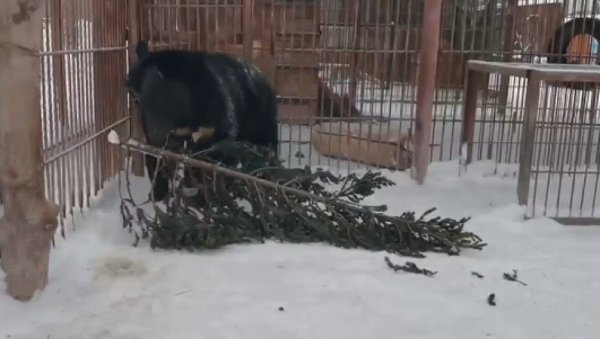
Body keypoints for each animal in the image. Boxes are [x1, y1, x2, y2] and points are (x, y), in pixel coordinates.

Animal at [126, 41, 278, 203]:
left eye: (165, 98)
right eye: (136, 97)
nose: (156, 134)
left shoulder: (217, 115)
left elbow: (210, 157)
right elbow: (155, 156)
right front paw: (157, 193)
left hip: (261, 115)